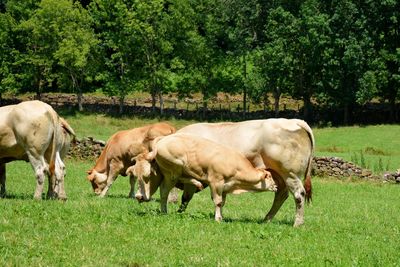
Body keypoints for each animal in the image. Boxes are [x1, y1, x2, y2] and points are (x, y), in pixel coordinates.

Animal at [131, 134, 278, 222]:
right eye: (270, 177)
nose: (276, 186)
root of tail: (163, 140)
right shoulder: (216, 182)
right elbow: (218, 201)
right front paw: (218, 219)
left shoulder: (225, 187)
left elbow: (222, 202)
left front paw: (221, 215)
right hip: (175, 168)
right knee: (168, 189)